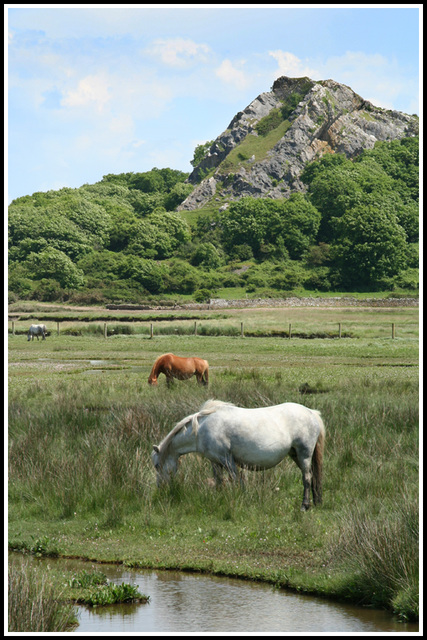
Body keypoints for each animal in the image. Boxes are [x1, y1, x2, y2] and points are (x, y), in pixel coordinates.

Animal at [152, 400, 326, 510]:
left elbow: (236, 481)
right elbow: (219, 482)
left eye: (157, 465)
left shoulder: (228, 460)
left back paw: (304, 506)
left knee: (307, 478)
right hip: (295, 454)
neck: (201, 429)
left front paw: (241, 500)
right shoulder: (216, 462)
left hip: (304, 454)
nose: (160, 488)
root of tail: (311, 413)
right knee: (313, 477)